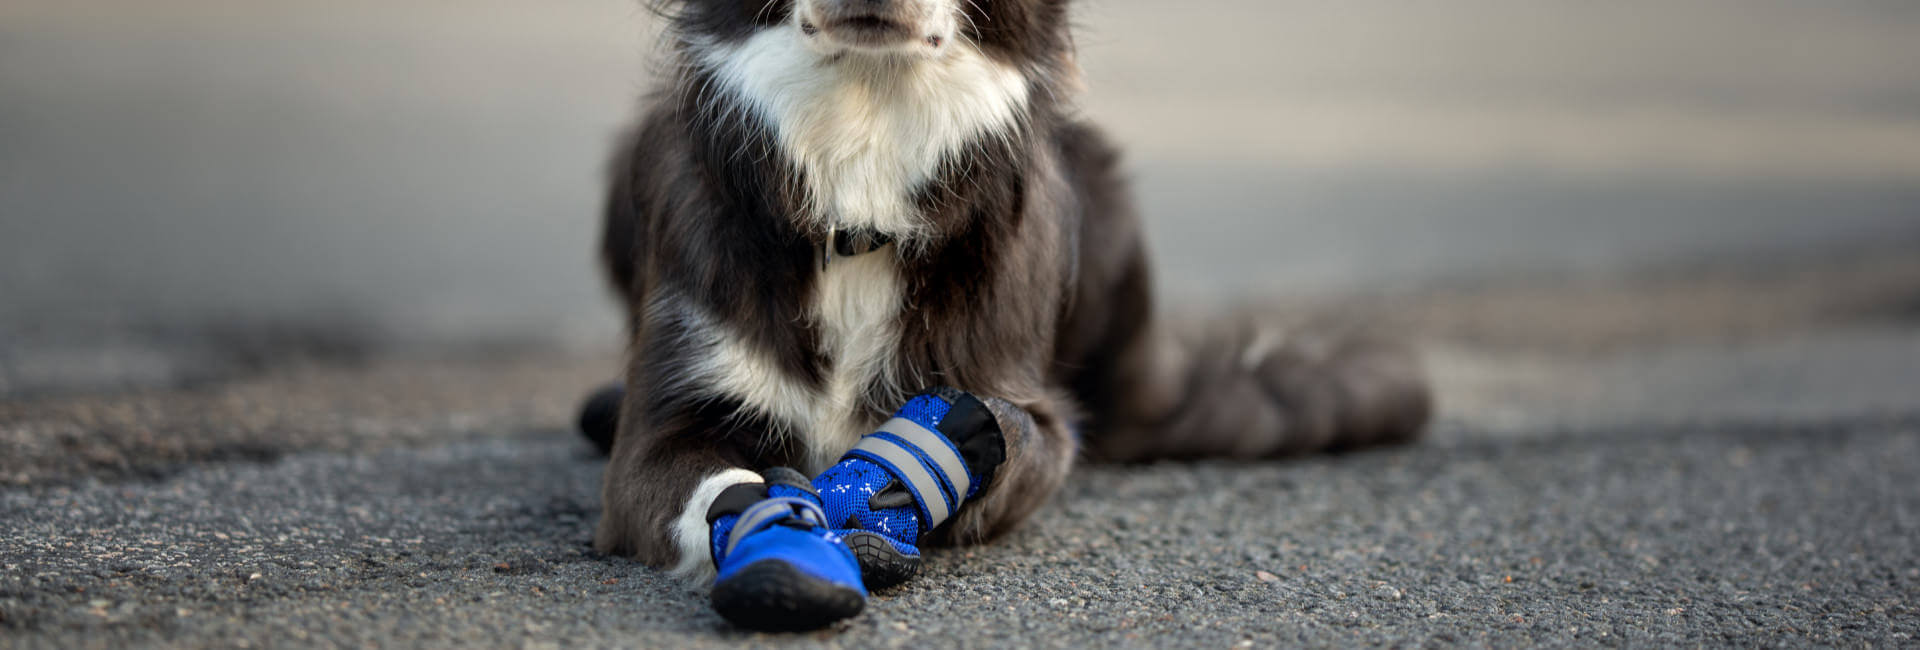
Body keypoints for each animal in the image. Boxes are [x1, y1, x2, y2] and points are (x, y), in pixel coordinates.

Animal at [583, 0, 1443, 632]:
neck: (861, 172)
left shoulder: (1031, 407)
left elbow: (1010, 433)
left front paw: (914, 467)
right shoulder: (665, 430)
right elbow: (717, 482)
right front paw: (778, 535)